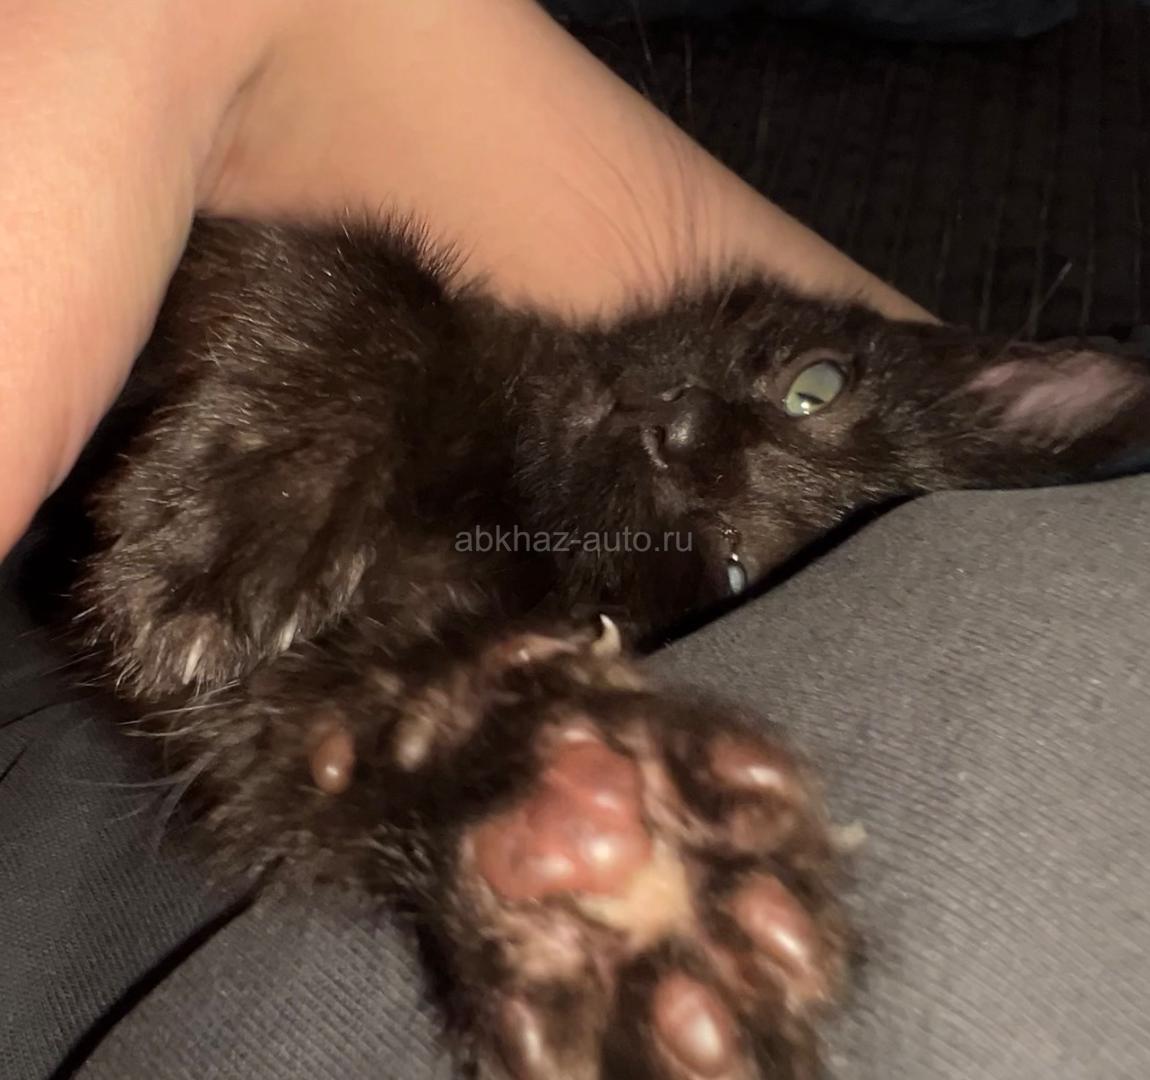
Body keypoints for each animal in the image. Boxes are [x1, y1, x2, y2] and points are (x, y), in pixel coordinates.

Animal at [76, 216, 1150, 1079]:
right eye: (815, 385)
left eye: (733, 573)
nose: (675, 427)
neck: (506, 508)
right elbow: (370, 281)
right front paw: (244, 501)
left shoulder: (294, 718)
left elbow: (376, 731)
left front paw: (602, 861)